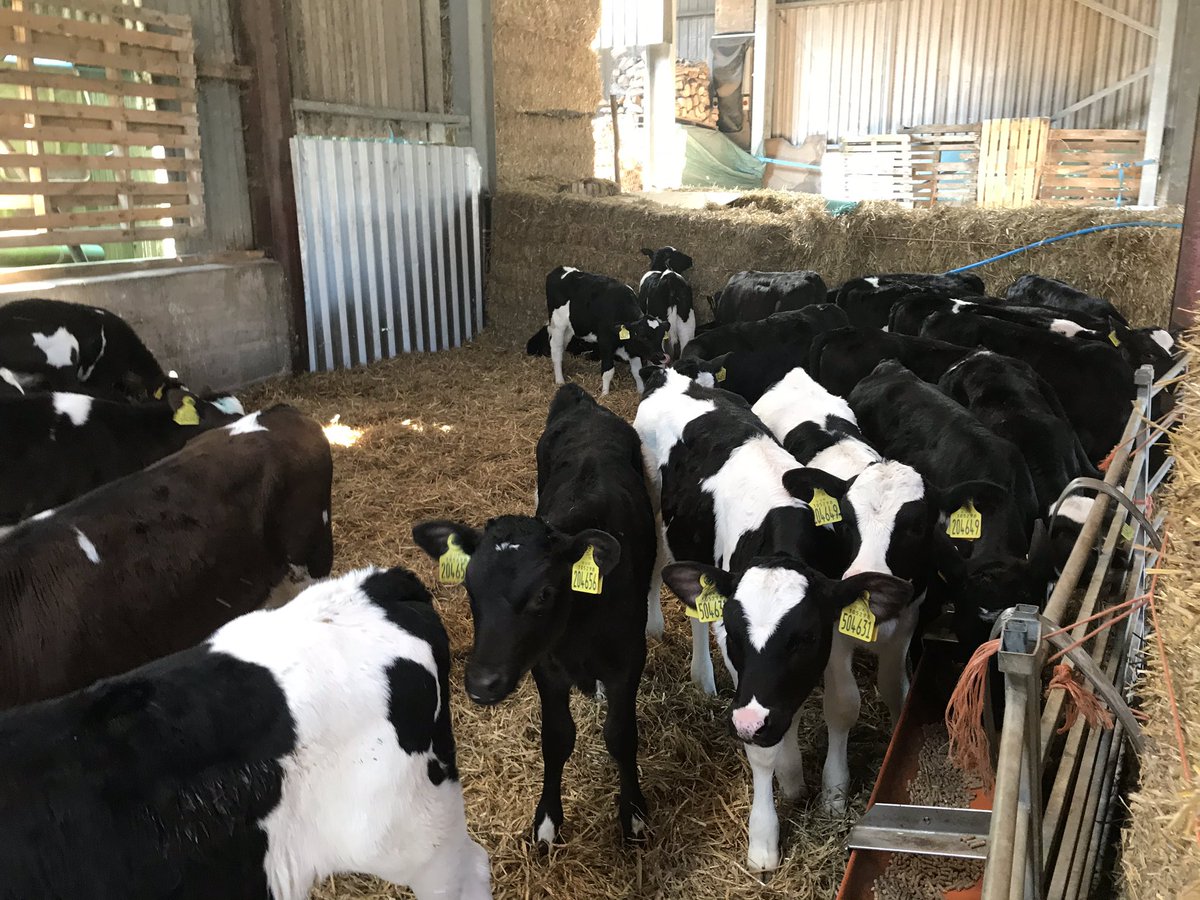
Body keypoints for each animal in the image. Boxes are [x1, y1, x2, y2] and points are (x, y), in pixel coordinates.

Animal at [413, 383, 655, 845]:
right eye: (470, 587)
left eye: (544, 593)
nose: (481, 683)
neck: (577, 629)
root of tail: (585, 404)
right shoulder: (546, 665)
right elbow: (557, 738)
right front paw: (547, 819)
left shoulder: (629, 659)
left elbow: (621, 735)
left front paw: (633, 811)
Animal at [525, 267, 670, 395]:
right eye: (644, 337)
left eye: (661, 336)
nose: (662, 357)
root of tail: (559, 269)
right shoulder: (605, 341)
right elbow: (608, 371)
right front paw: (605, 394)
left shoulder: (633, 347)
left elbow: (637, 371)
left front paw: (640, 391)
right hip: (558, 325)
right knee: (556, 350)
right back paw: (560, 380)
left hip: (570, 329)